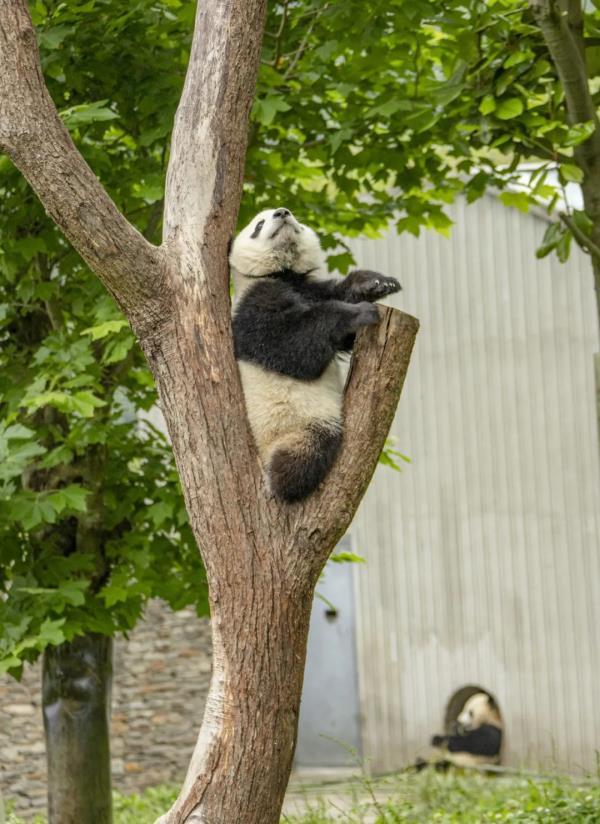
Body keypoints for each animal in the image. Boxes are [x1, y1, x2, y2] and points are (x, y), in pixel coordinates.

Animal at [227, 206, 400, 502]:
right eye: (258, 225)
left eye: (293, 217)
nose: (282, 212)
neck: (283, 273)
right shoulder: (253, 304)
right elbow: (290, 344)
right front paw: (359, 312)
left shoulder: (310, 288)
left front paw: (377, 283)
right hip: (293, 425)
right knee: (306, 451)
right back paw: (288, 484)